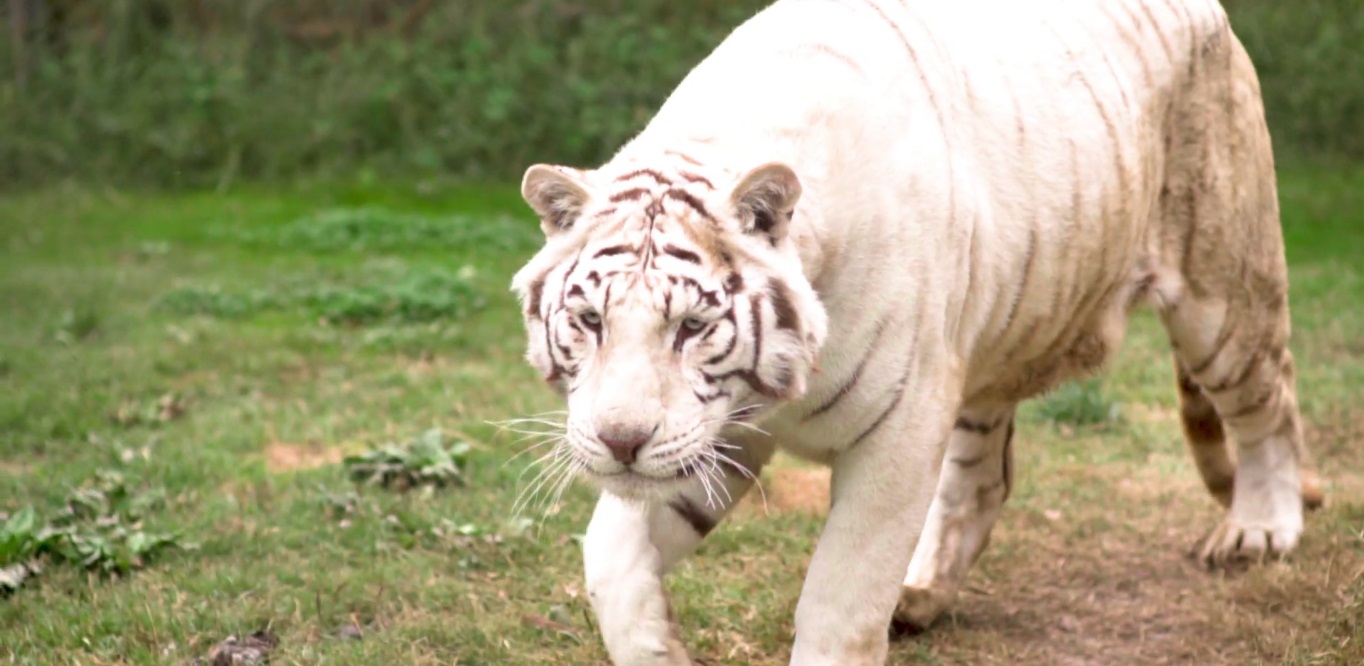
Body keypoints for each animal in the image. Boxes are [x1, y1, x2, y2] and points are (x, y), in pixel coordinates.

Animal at [509, 0, 1324, 663]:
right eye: (589, 321)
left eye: (694, 326)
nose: (620, 442)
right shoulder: (723, 435)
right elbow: (608, 555)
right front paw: (659, 647)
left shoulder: (897, 428)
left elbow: (840, 600)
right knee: (982, 481)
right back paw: (922, 591)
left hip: (1222, 291)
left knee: (1270, 403)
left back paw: (1260, 531)